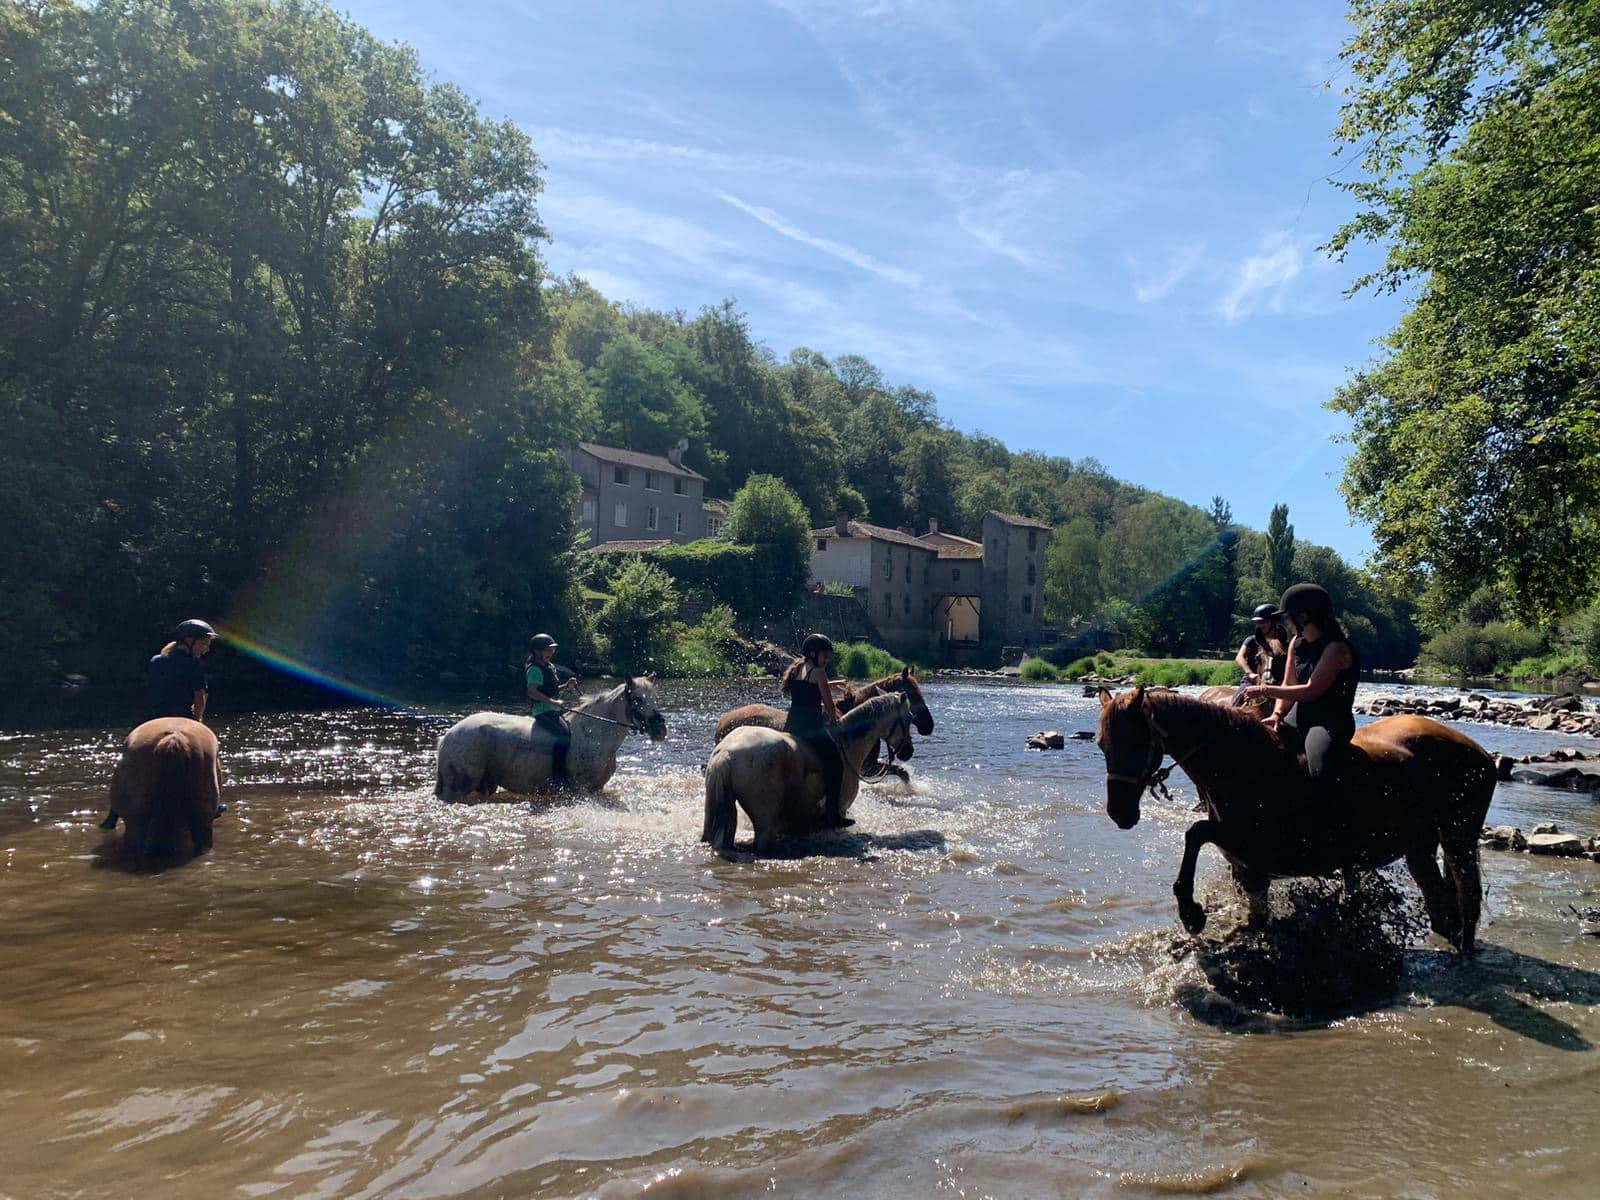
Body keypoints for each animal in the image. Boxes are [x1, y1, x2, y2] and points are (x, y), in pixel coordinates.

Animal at [435, 677, 668, 802]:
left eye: (655, 698)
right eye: (637, 699)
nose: (660, 730)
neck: (595, 734)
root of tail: (448, 735)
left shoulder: (596, 789)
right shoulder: (581, 791)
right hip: (455, 788)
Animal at [702, 692, 916, 856]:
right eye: (909, 718)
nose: (908, 751)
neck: (847, 744)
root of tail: (725, 754)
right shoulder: (839, 808)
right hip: (764, 815)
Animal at [1096, 686, 1496, 952]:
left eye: (1134, 742)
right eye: (1101, 744)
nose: (1119, 813)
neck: (1243, 763)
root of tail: (1479, 752)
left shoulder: (1250, 842)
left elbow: (1195, 833)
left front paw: (1191, 912)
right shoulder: (1245, 858)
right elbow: (1252, 907)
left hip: (1458, 837)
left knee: (1467, 898)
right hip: (1421, 847)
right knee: (1442, 904)